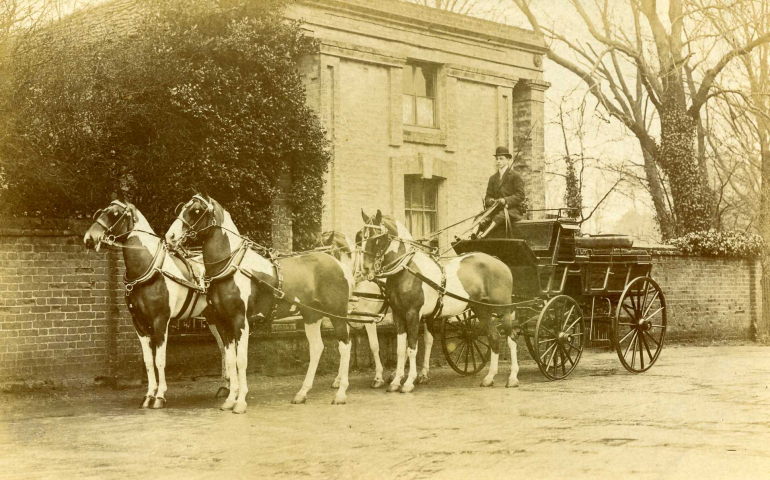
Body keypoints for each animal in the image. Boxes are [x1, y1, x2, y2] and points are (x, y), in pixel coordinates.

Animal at [84, 200, 230, 408]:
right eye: (102, 211)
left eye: (114, 214)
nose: (89, 238)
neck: (149, 268)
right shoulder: (139, 324)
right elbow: (147, 361)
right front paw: (148, 395)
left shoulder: (161, 321)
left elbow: (160, 360)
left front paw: (160, 396)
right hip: (213, 319)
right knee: (225, 348)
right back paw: (225, 387)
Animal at [166, 195, 352, 412]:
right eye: (182, 207)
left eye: (196, 210)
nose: (170, 236)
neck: (230, 267)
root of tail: (337, 263)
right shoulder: (223, 323)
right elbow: (230, 360)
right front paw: (229, 400)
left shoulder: (241, 321)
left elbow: (241, 361)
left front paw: (240, 402)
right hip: (311, 315)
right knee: (316, 348)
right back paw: (302, 393)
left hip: (337, 314)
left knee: (345, 345)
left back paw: (341, 393)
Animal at [312, 232, 384, 390]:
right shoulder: (343, 317)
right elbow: (342, 347)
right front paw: (339, 379)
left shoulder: (369, 319)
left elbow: (374, 346)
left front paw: (378, 377)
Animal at [354, 210, 516, 394]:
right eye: (361, 236)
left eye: (377, 237)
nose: (365, 269)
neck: (406, 269)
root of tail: (498, 261)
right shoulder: (398, 314)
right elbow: (401, 349)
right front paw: (395, 381)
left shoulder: (413, 314)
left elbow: (412, 347)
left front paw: (408, 382)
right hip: (482, 310)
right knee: (494, 337)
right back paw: (489, 378)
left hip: (503, 310)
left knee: (511, 338)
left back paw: (513, 378)